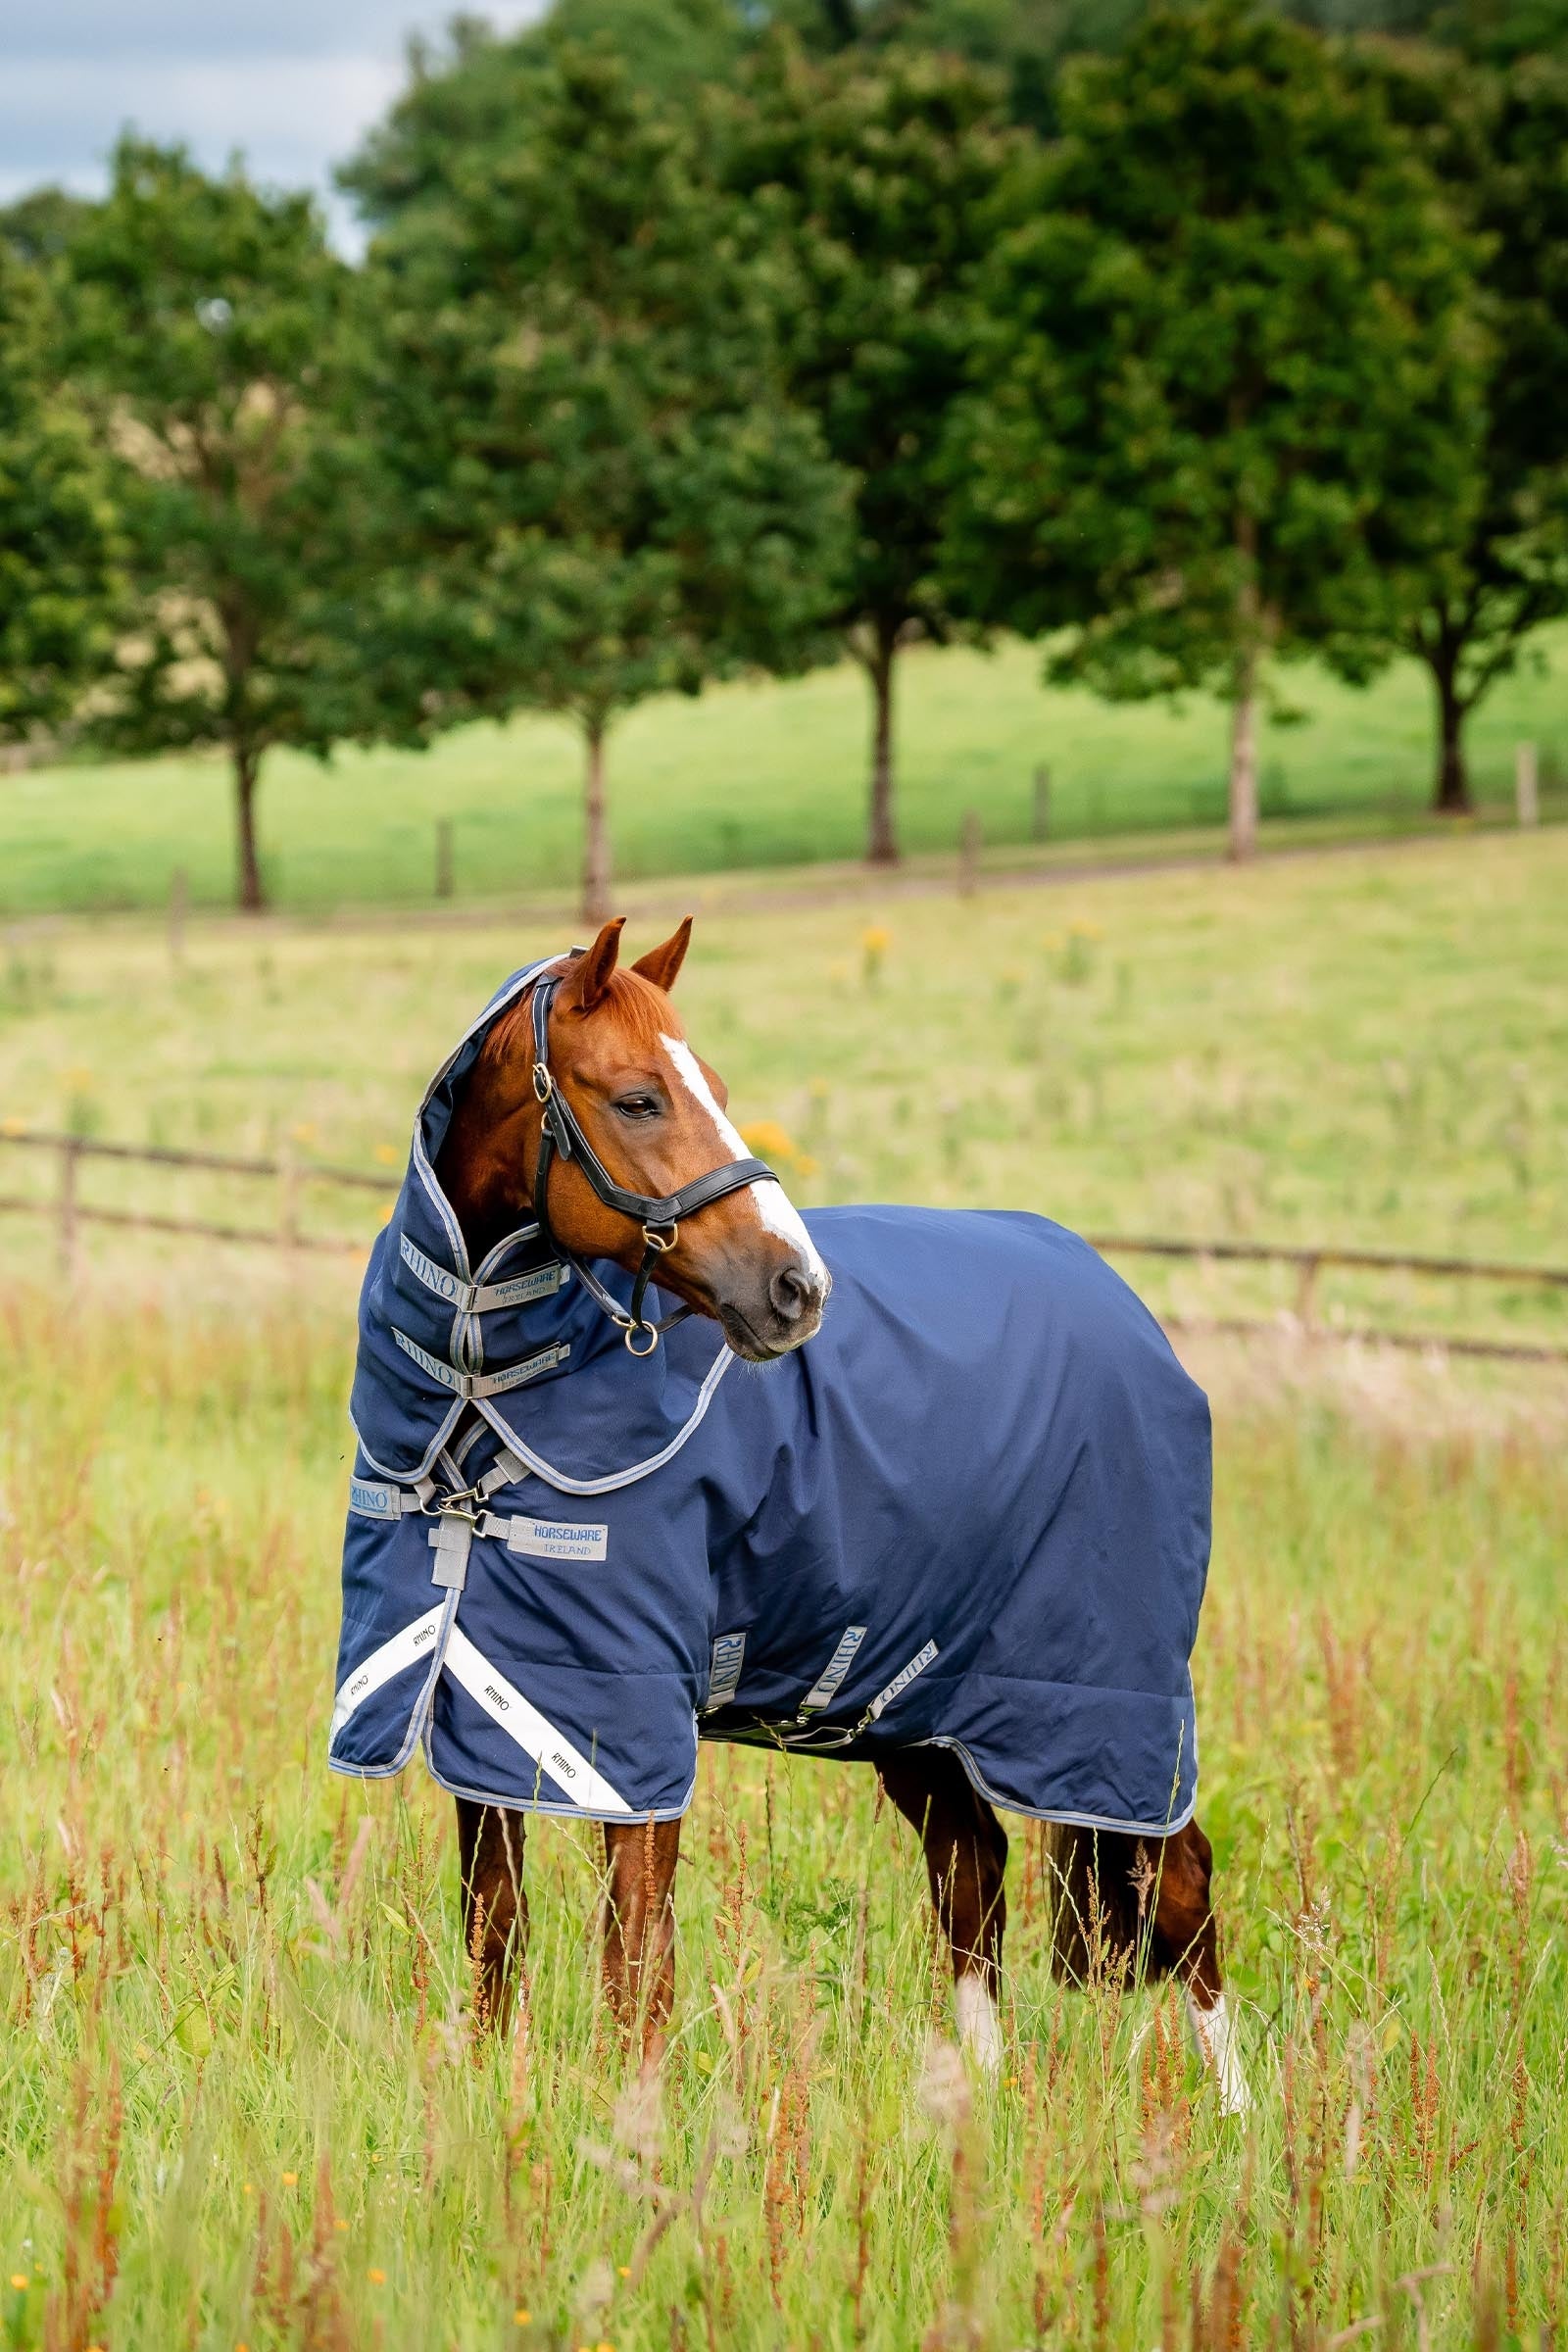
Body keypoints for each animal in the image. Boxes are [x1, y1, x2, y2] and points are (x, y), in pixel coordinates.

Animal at [329, 918, 1247, 2112]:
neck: (488, 1399)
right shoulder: (475, 1700)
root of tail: (1133, 1316)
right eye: (639, 1098)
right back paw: (977, 2105)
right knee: (972, 1873)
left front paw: (634, 2130)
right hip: (922, 1702)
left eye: (715, 1089)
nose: (795, 1289)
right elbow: (498, 1930)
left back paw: (1237, 2123)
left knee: (1178, 1884)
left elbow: (636, 1961)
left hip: (1107, 1709)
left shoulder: (627, 1726)